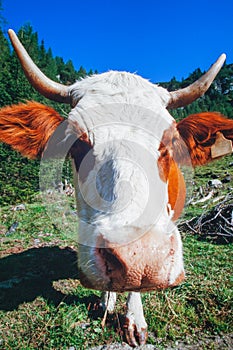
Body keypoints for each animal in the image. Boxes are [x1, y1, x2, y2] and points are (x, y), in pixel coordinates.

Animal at [0, 28, 233, 346]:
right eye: (76, 141)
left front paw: (134, 319)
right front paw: (106, 300)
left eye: (171, 141)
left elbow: (135, 287)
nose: (142, 258)